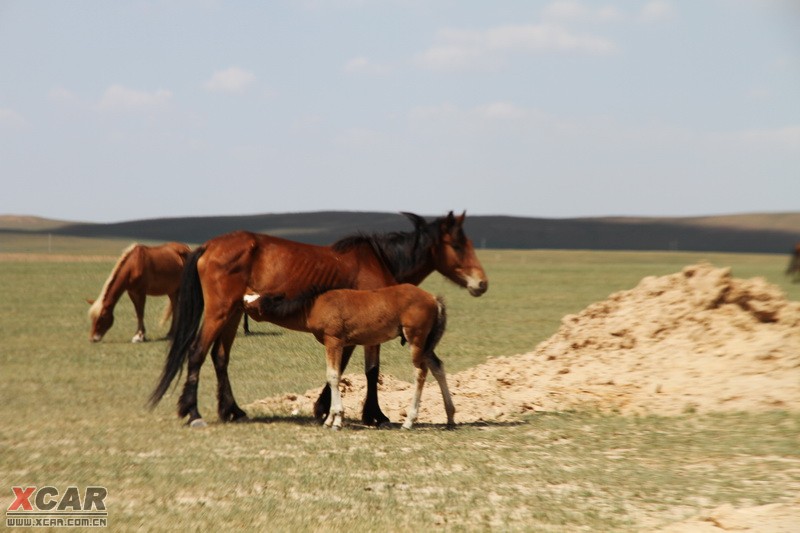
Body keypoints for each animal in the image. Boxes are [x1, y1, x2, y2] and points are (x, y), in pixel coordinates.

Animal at [244, 284, 456, 430]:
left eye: (250, 306)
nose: (239, 309)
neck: (314, 304)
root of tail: (434, 299)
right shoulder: (339, 345)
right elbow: (335, 376)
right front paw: (329, 419)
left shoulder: (333, 341)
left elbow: (333, 376)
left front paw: (336, 420)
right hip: (426, 344)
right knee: (437, 366)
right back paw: (450, 417)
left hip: (416, 340)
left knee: (420, 372)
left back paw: (409, 421)